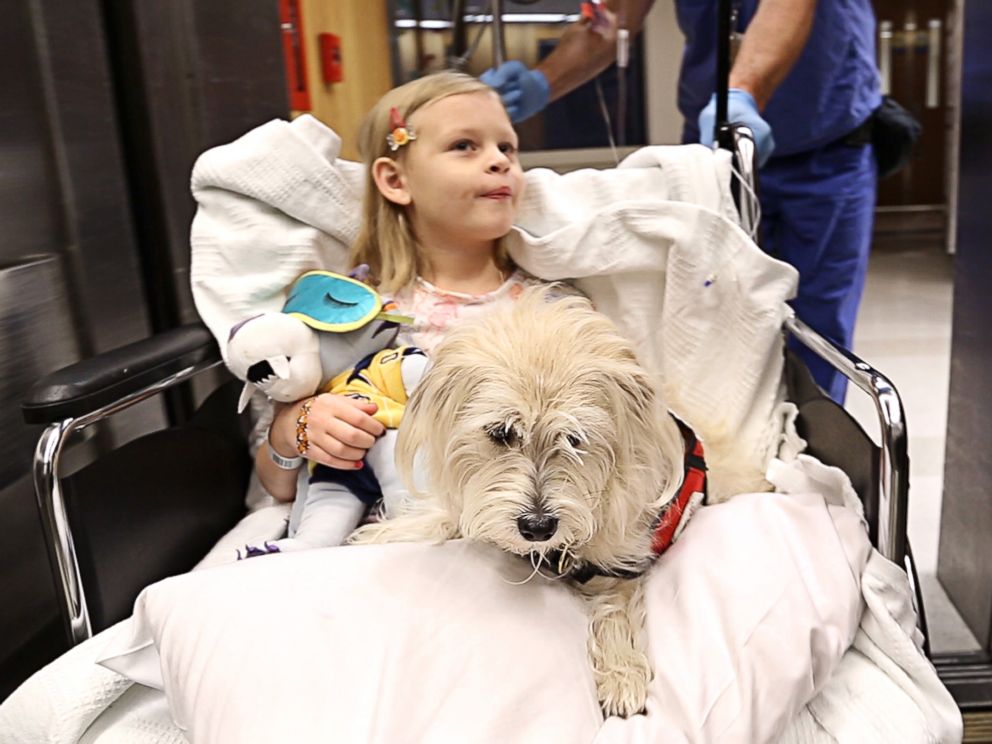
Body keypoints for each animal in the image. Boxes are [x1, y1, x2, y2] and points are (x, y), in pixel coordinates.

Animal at [352, 284, 692, 716]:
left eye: (575, 439)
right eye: (501, 432)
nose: (538, 527)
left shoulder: (623, 560)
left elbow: (615, 607)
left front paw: (621, 673)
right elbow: (454, 516)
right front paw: (390, 533)